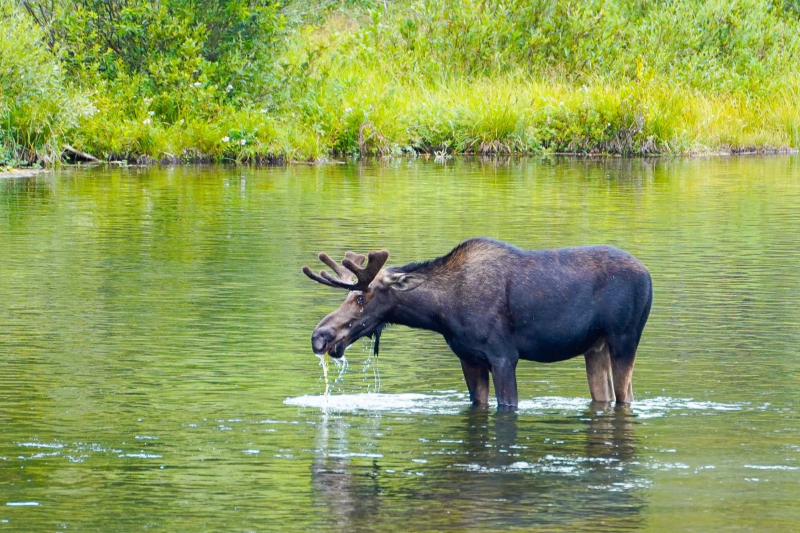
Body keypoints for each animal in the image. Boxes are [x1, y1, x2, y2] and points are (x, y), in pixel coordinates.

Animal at [304, 237, 652, 408]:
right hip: (595, 347)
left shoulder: (503, 356)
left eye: (361, 298)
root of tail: (649, 277)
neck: (440, 313)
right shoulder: (469, 358)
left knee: (626, 395)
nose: (319, 336)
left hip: (624, 339)